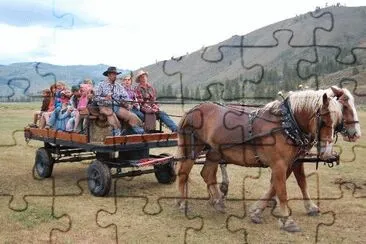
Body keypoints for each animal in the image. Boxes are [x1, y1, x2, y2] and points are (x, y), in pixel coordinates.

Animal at [177, 86, 346, 232]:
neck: (287, 124)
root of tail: (192, 110)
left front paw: (258, 211)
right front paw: (288, 221)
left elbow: (286, 185)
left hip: (214, 152)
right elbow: (282, 191)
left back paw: (218, 201)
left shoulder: (291, 162)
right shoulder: (279, 164)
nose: (327, 153)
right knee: (184, 173)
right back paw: (182, 203)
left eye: (338, 122)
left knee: (207, 174)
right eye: (324, 121)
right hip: (192, 149)